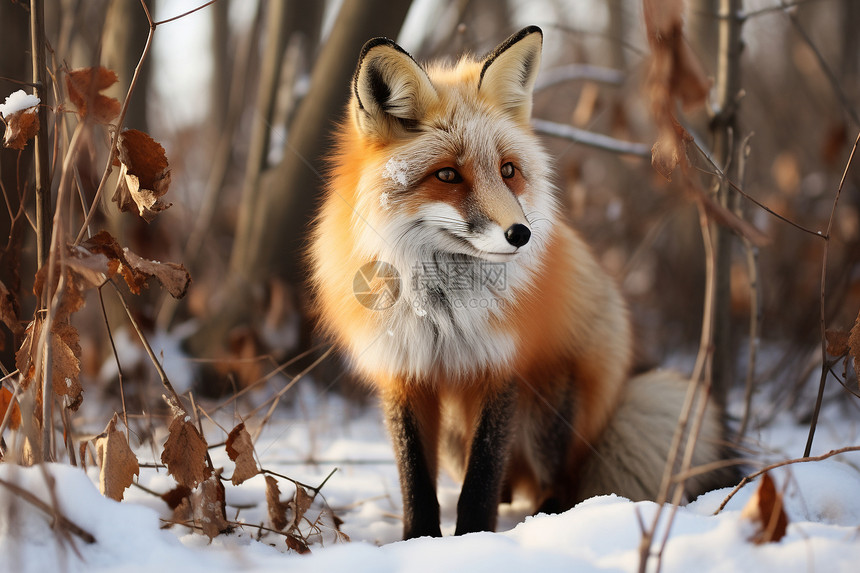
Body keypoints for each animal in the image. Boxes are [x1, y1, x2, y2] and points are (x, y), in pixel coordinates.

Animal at [306, 25, 736, 536]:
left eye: (508, 170)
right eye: (447, 174)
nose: (521, 234)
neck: (443, 313)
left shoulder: (503, 365)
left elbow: (483, 475)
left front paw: (472, 538)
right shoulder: (403, 372)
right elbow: (415, 477)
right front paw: (419, 539)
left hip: (549, 402)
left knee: (559, 482)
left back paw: (546, 517)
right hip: (458, 434)